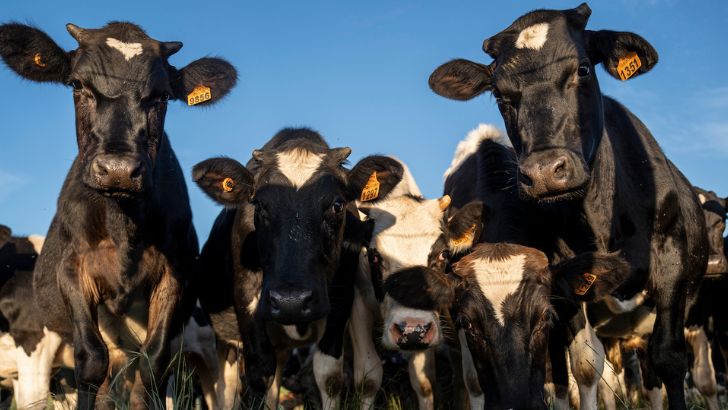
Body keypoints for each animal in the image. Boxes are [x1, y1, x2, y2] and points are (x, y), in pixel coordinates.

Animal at [0, 22, 237, 408]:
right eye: (77, 85)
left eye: (162, 97)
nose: (119, 170)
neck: (123, 226)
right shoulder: (72, 268)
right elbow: (91, 358)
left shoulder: (176, 273)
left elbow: (153, 363)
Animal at [192, 128, 404, 409]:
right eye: (259, 205)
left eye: (337, 205)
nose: (290, 301)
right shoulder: (246, 299)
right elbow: (259, 371)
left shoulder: (341, 297)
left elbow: (329, 373)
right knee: (227, 389)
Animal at [350, 158, 483, 409]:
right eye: (374, 257)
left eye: (443, 254)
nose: (412, 330)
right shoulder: (359, 306)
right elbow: (368, 378)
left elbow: (424, 383)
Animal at [429, 4, 708, 409]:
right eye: (498, 94)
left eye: (583, 69)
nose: (545, 172)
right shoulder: (564, 281)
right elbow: (583, 367)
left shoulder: (673, 259)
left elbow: (669, 359)